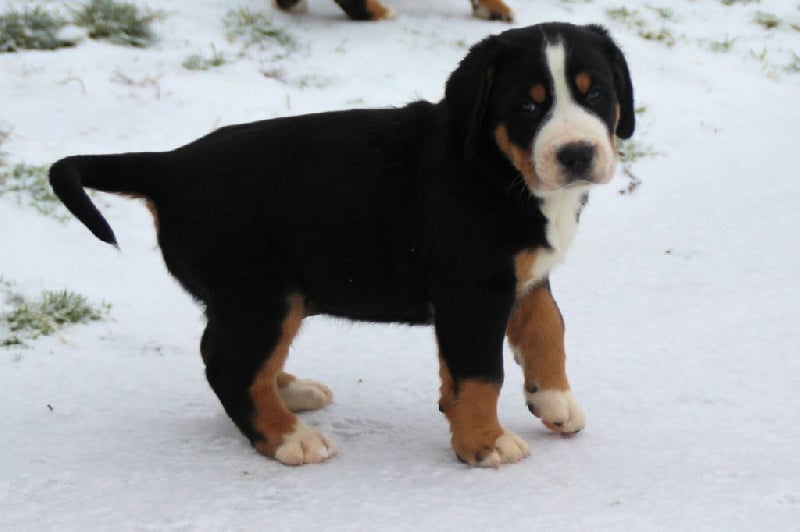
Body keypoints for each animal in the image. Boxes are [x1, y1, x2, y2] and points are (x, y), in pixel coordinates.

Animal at [50, 22, 634, 467]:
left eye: (596, 94)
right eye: (526, 107)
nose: (577, 153)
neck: (494, 168)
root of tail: (171, 166)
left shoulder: (522, 275)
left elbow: (547, 329)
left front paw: (554, 401)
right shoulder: (473, 288)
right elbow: (480, 372)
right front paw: (483, 443)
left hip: (263, 298)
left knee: (236, 357)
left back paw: (290, 391)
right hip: (261, 294)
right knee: (227, 365)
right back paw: (289, 438)